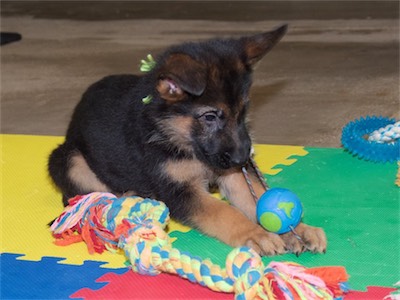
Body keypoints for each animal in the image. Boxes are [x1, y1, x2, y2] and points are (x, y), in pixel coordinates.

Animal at [49, 25, 328, 255]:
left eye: (243, 112)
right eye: (210, 116)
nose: (244, 159)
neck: (181, 139)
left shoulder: (230, 172)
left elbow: (256, 196)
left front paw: (297, 229)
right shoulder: (178, 191)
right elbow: (222, 211)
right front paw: (255, 234)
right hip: (67, 159)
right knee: (88, 194)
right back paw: (128, 197)